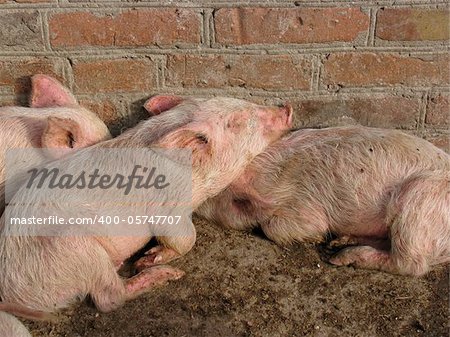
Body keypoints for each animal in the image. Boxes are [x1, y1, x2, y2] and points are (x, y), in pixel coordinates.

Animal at [0, 94, 292, 316]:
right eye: (236, 123)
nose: (285, 108)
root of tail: (11, 293)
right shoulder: (169, 211)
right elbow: (187, 239)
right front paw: (149, 258)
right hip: (76, 248)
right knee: (109, 298)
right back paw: (163, 274)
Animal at [197, 126, 450, 276]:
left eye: (216, 194)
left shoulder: (304, 205)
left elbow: (279, 228)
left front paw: (317, 238)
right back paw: (338, 243)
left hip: (419, 202)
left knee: (411, 263)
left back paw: (339, 258)